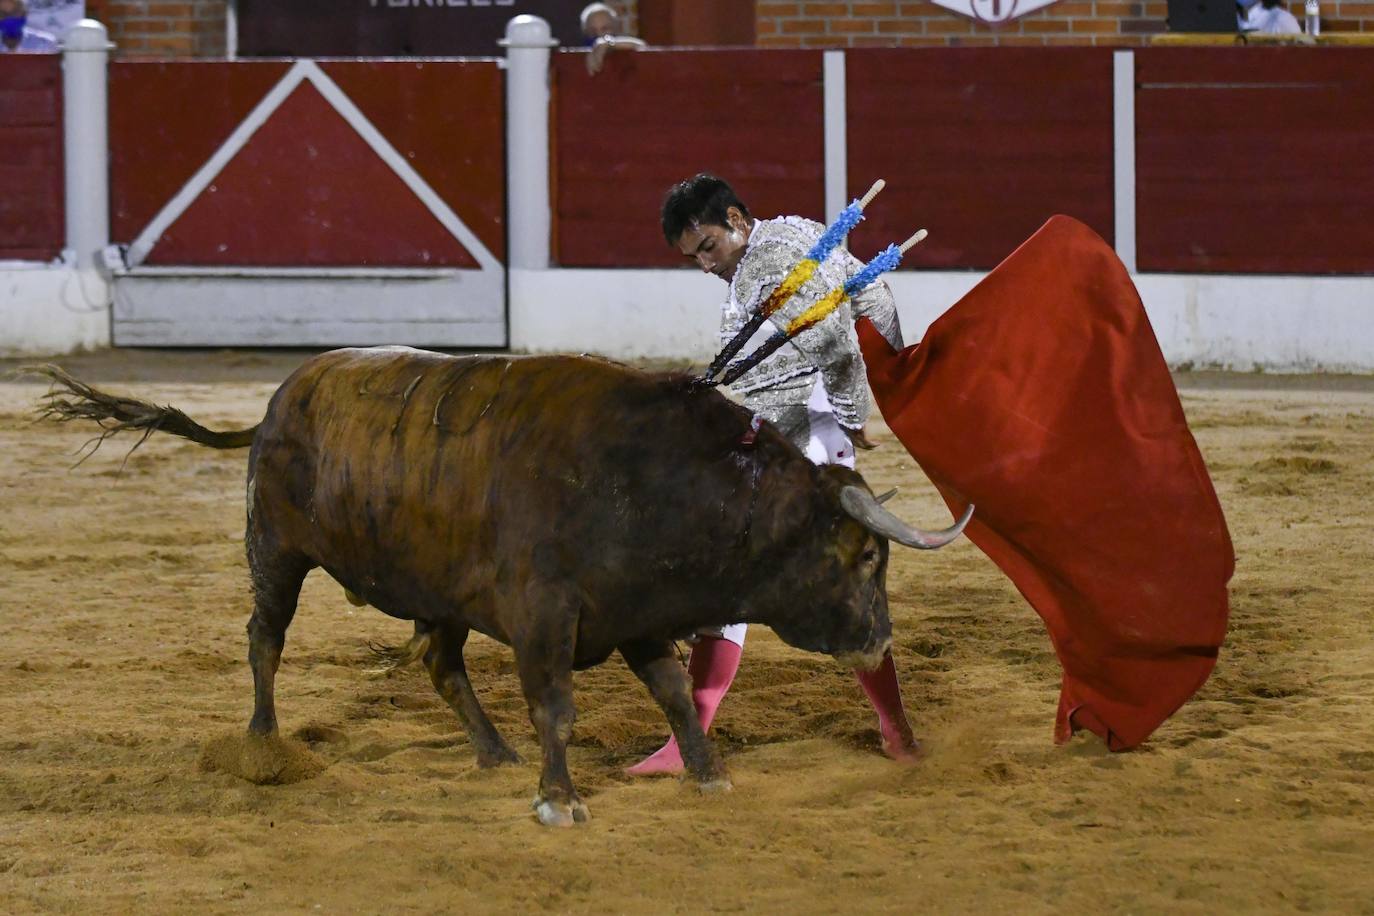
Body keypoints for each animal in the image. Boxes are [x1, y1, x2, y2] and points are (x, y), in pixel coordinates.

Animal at [37, 347, 972, 829]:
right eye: (865, 556)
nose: (880, 641)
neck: (651, 478)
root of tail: (275, 405)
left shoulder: (635, 615)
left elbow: (674, 693)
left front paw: (707, 775)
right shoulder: (541, 618)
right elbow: (556, 706)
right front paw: (560, 801)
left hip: (437, 593)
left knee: (441, 664)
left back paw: (491, 752)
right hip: (275, 549)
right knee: (264, 638)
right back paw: (265, 747)